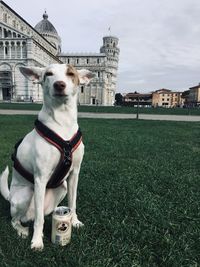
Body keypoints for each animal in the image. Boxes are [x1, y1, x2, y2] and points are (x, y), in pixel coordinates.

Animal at [0, 63, 95, 251]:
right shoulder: (40, 178)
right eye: (48, 74)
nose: (59, 84)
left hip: (62, 187)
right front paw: (37, 240)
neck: (63, 121)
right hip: (25, 194)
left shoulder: (74, 174)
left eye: (70, 73)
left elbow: (72, 203)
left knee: (44, 212)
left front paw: (74, 221)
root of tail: (10, 198)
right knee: (17, 219)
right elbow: (38, 220)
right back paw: (22, 230)